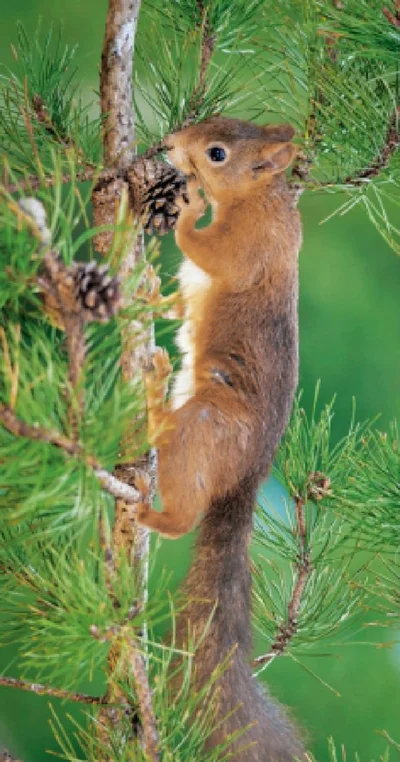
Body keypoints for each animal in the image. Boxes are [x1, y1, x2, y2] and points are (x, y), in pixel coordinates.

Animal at [139, 117, 304, 760]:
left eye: (216, 153)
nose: (170, 145)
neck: (263, 199)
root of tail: (249, 475)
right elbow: (176, 302)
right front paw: (146, 289)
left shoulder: (249, 249)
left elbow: (211, 254)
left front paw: (186, 210)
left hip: (207, 424)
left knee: (182, 515)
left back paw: (149, 510)